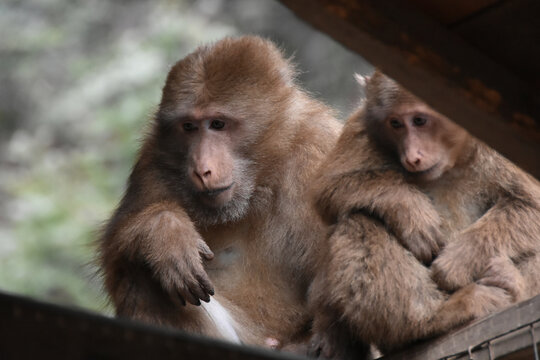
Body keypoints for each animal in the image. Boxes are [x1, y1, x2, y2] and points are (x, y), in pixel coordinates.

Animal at [97, 37, 342, 348]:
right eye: (189, 127)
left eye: (217, 124)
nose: (202, 169)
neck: (260, 184)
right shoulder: (154, 163)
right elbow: (116, 258)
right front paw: (165, 231)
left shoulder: (321, 148)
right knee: (142, 273)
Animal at [308, 70, 540, 358]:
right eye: (395, 123)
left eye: (419, 120)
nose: (412, 157)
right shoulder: (362, 128)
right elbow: (328, 188)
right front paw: (410, 211)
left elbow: (529, 203)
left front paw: (458, 261)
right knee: (358, 218)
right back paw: (432, 318)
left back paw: (510, 282)